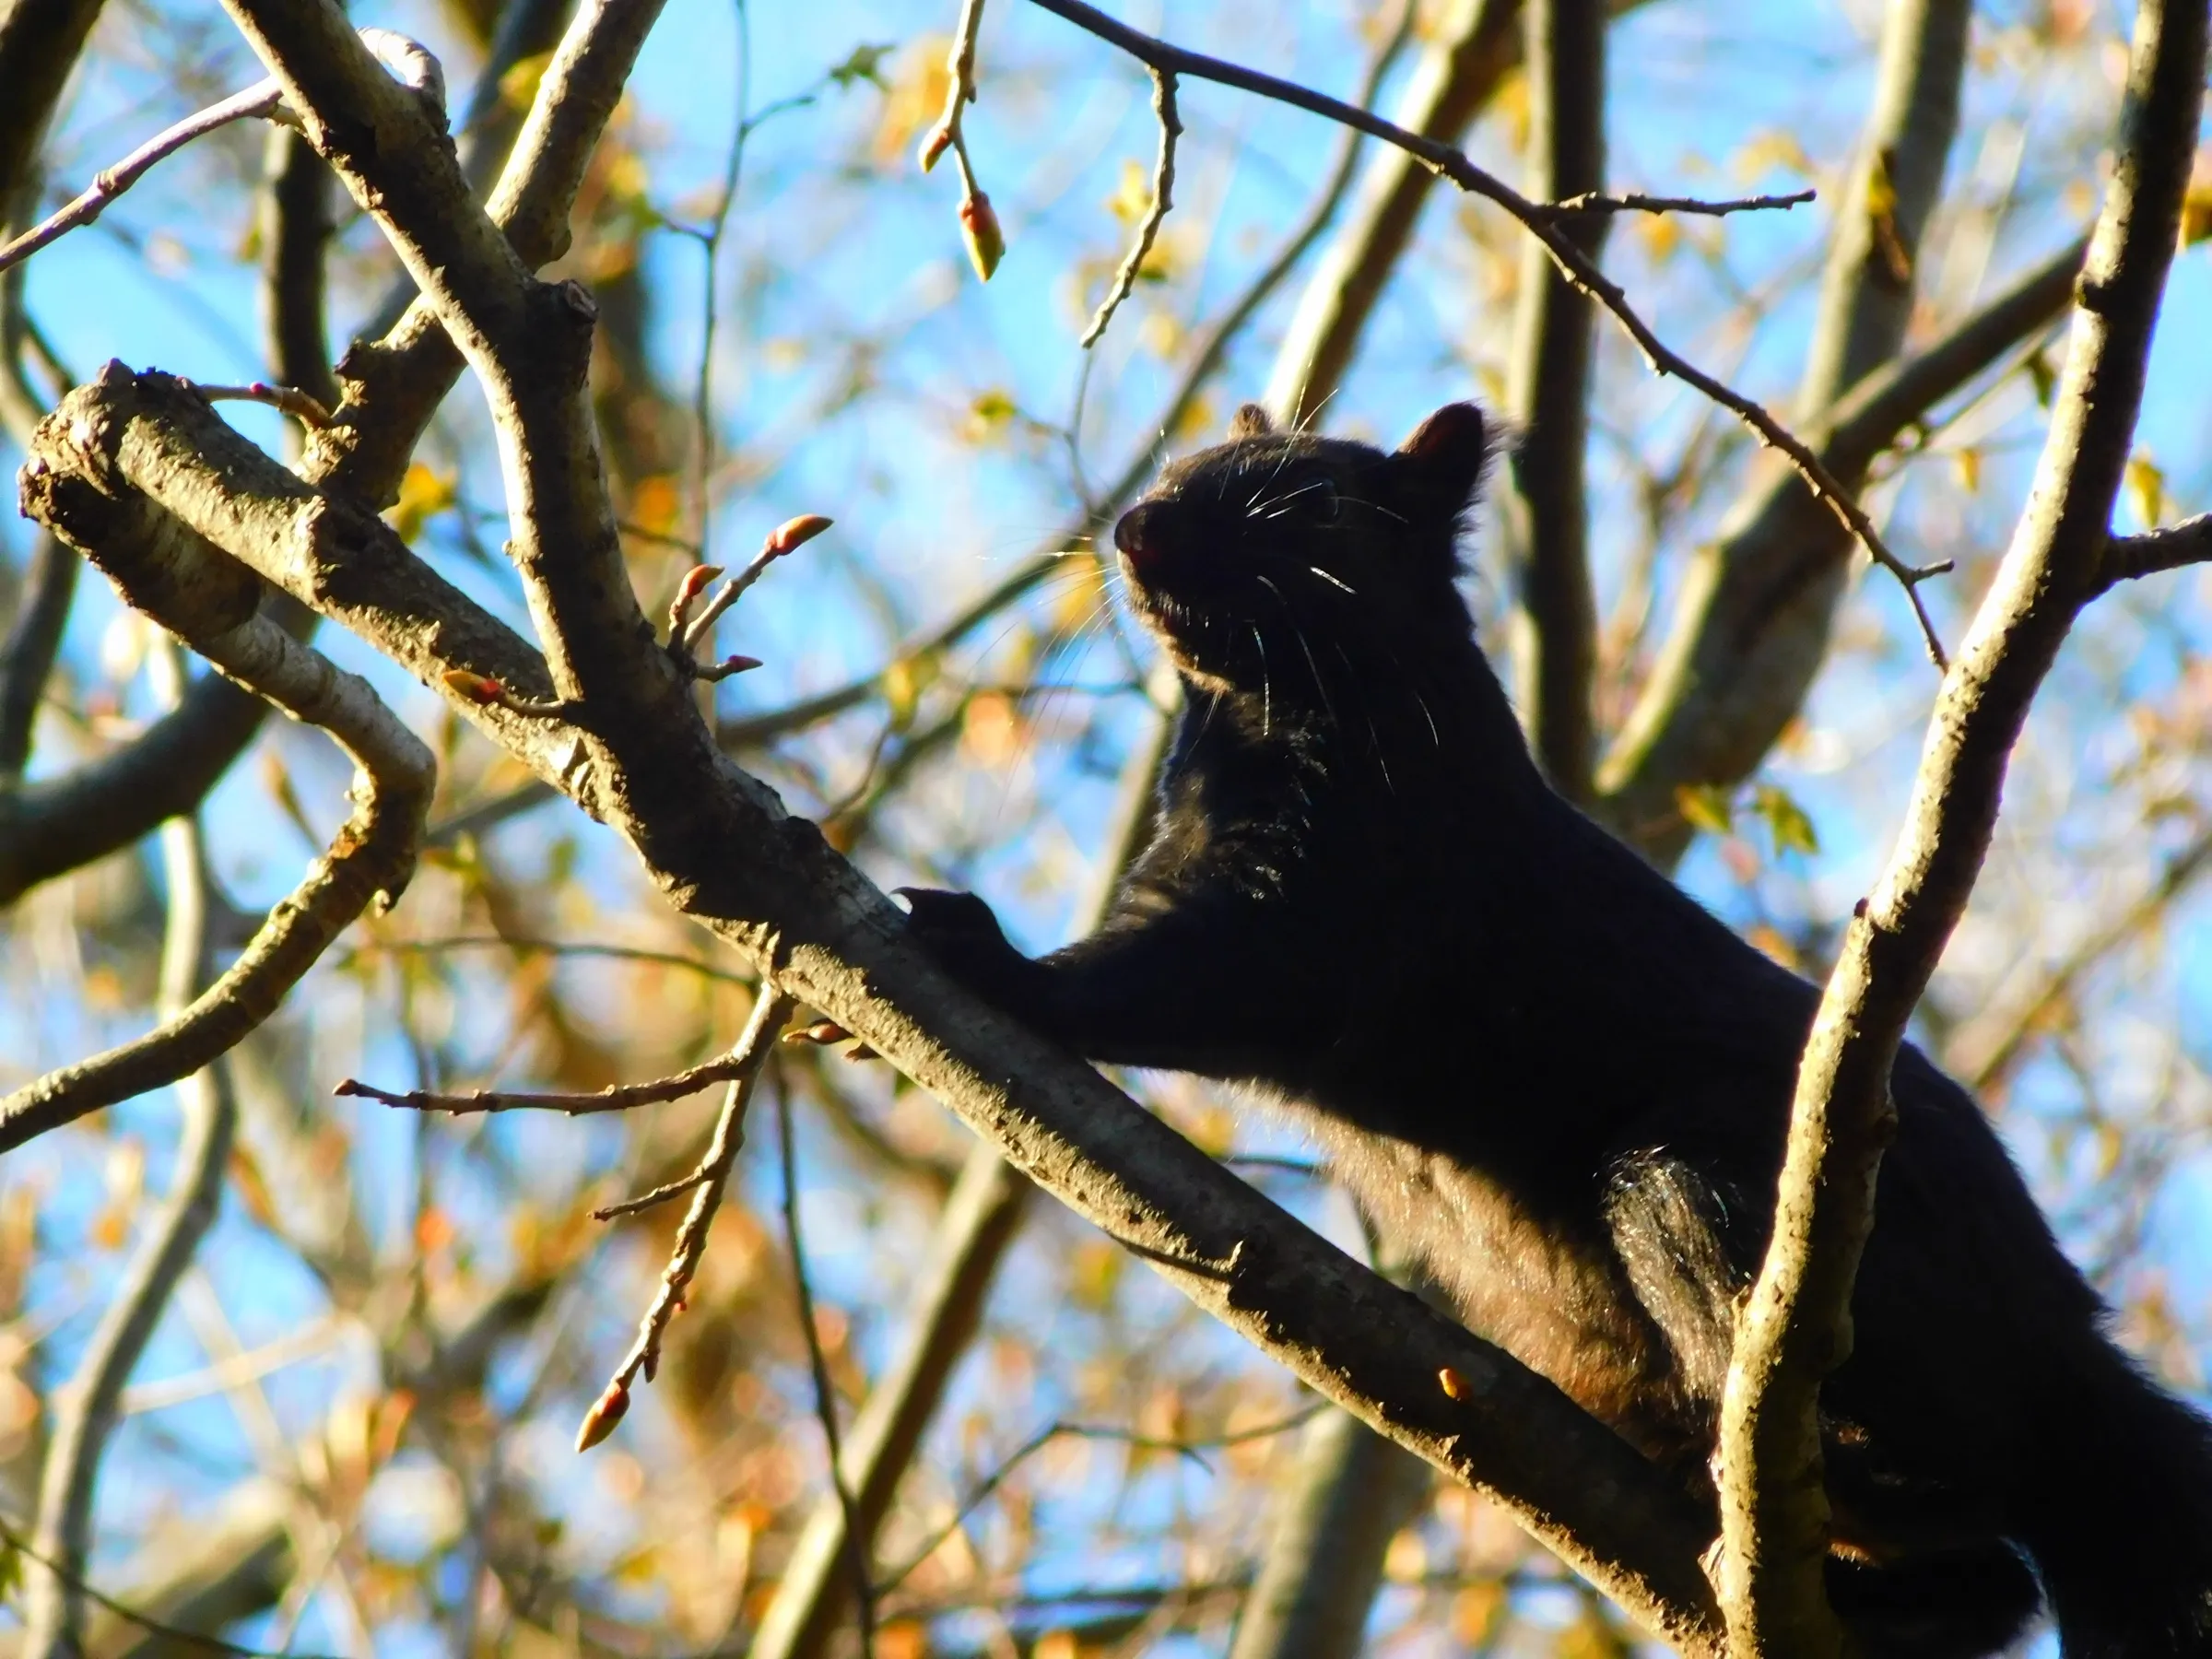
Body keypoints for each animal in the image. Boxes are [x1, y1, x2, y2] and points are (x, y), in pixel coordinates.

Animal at [899, 400, 2212, 1656]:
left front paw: (994, 960)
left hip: (1732, 1212)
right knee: (1990, 1584)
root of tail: (2065, 1348)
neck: (1280, 710)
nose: (1137, 530)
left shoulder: (1340, 903)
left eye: (1310, 503)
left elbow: (1186, 985)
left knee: (1965, 1512)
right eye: (1181, 469)